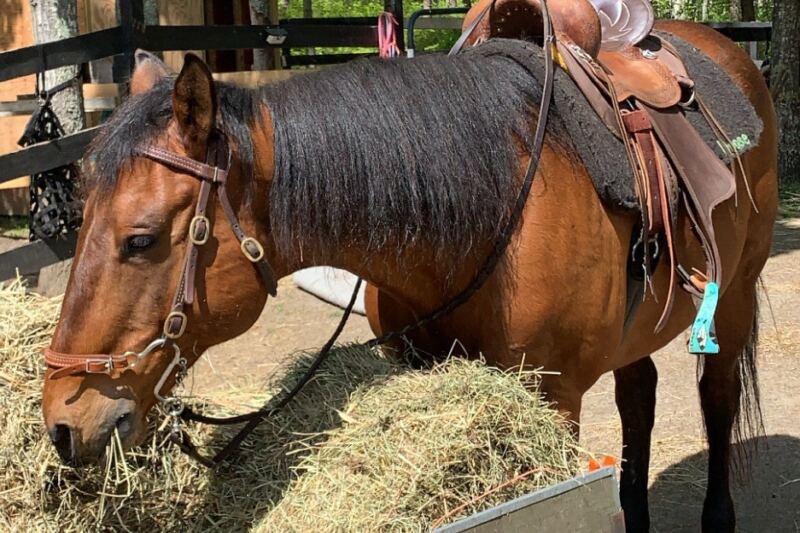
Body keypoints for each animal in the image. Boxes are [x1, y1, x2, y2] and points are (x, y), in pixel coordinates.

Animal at [41, 21, 777, 533]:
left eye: (140, 240)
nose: (62, 422)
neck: (487, 213)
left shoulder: (555, 395)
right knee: (639, 393)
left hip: (734, 296)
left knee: (716, 397)